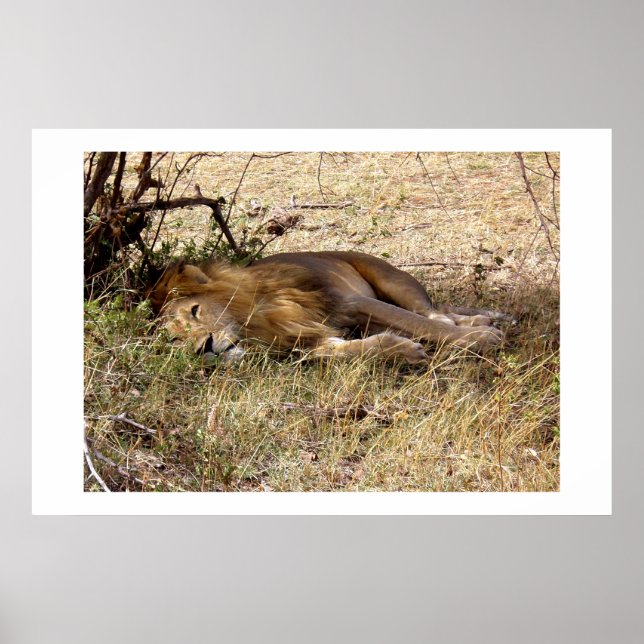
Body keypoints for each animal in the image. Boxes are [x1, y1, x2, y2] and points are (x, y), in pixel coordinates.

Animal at [149, 251, 511, 364]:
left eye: (195, 311)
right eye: (175, 340)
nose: (203, 347)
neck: (258, 323)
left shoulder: (350, 302)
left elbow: (425, 325)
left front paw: (482, 340)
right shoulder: (311, 340)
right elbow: (353, 350)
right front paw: (404, 349)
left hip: (391, 280)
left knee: (430, 314)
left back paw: (484, 324)